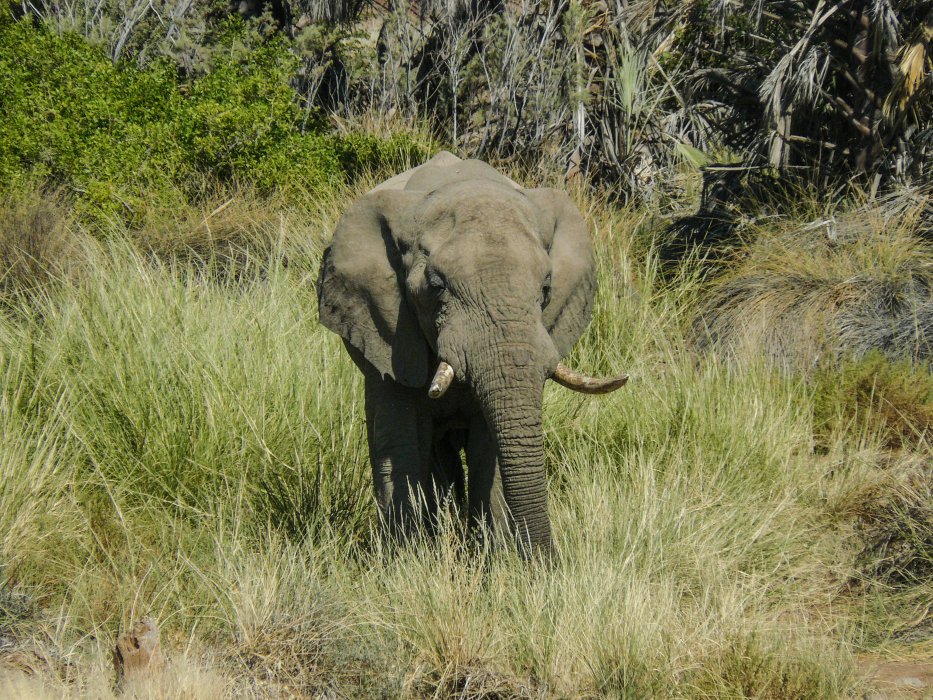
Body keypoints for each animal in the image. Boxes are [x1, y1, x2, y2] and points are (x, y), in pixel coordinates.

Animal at [317, 151, 627, 557]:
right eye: (436, 286)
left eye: (546, 288)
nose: (549, 561)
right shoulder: (391, 331)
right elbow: (401, 438)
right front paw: (407, 559)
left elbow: (488, 447)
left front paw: (494, 559)